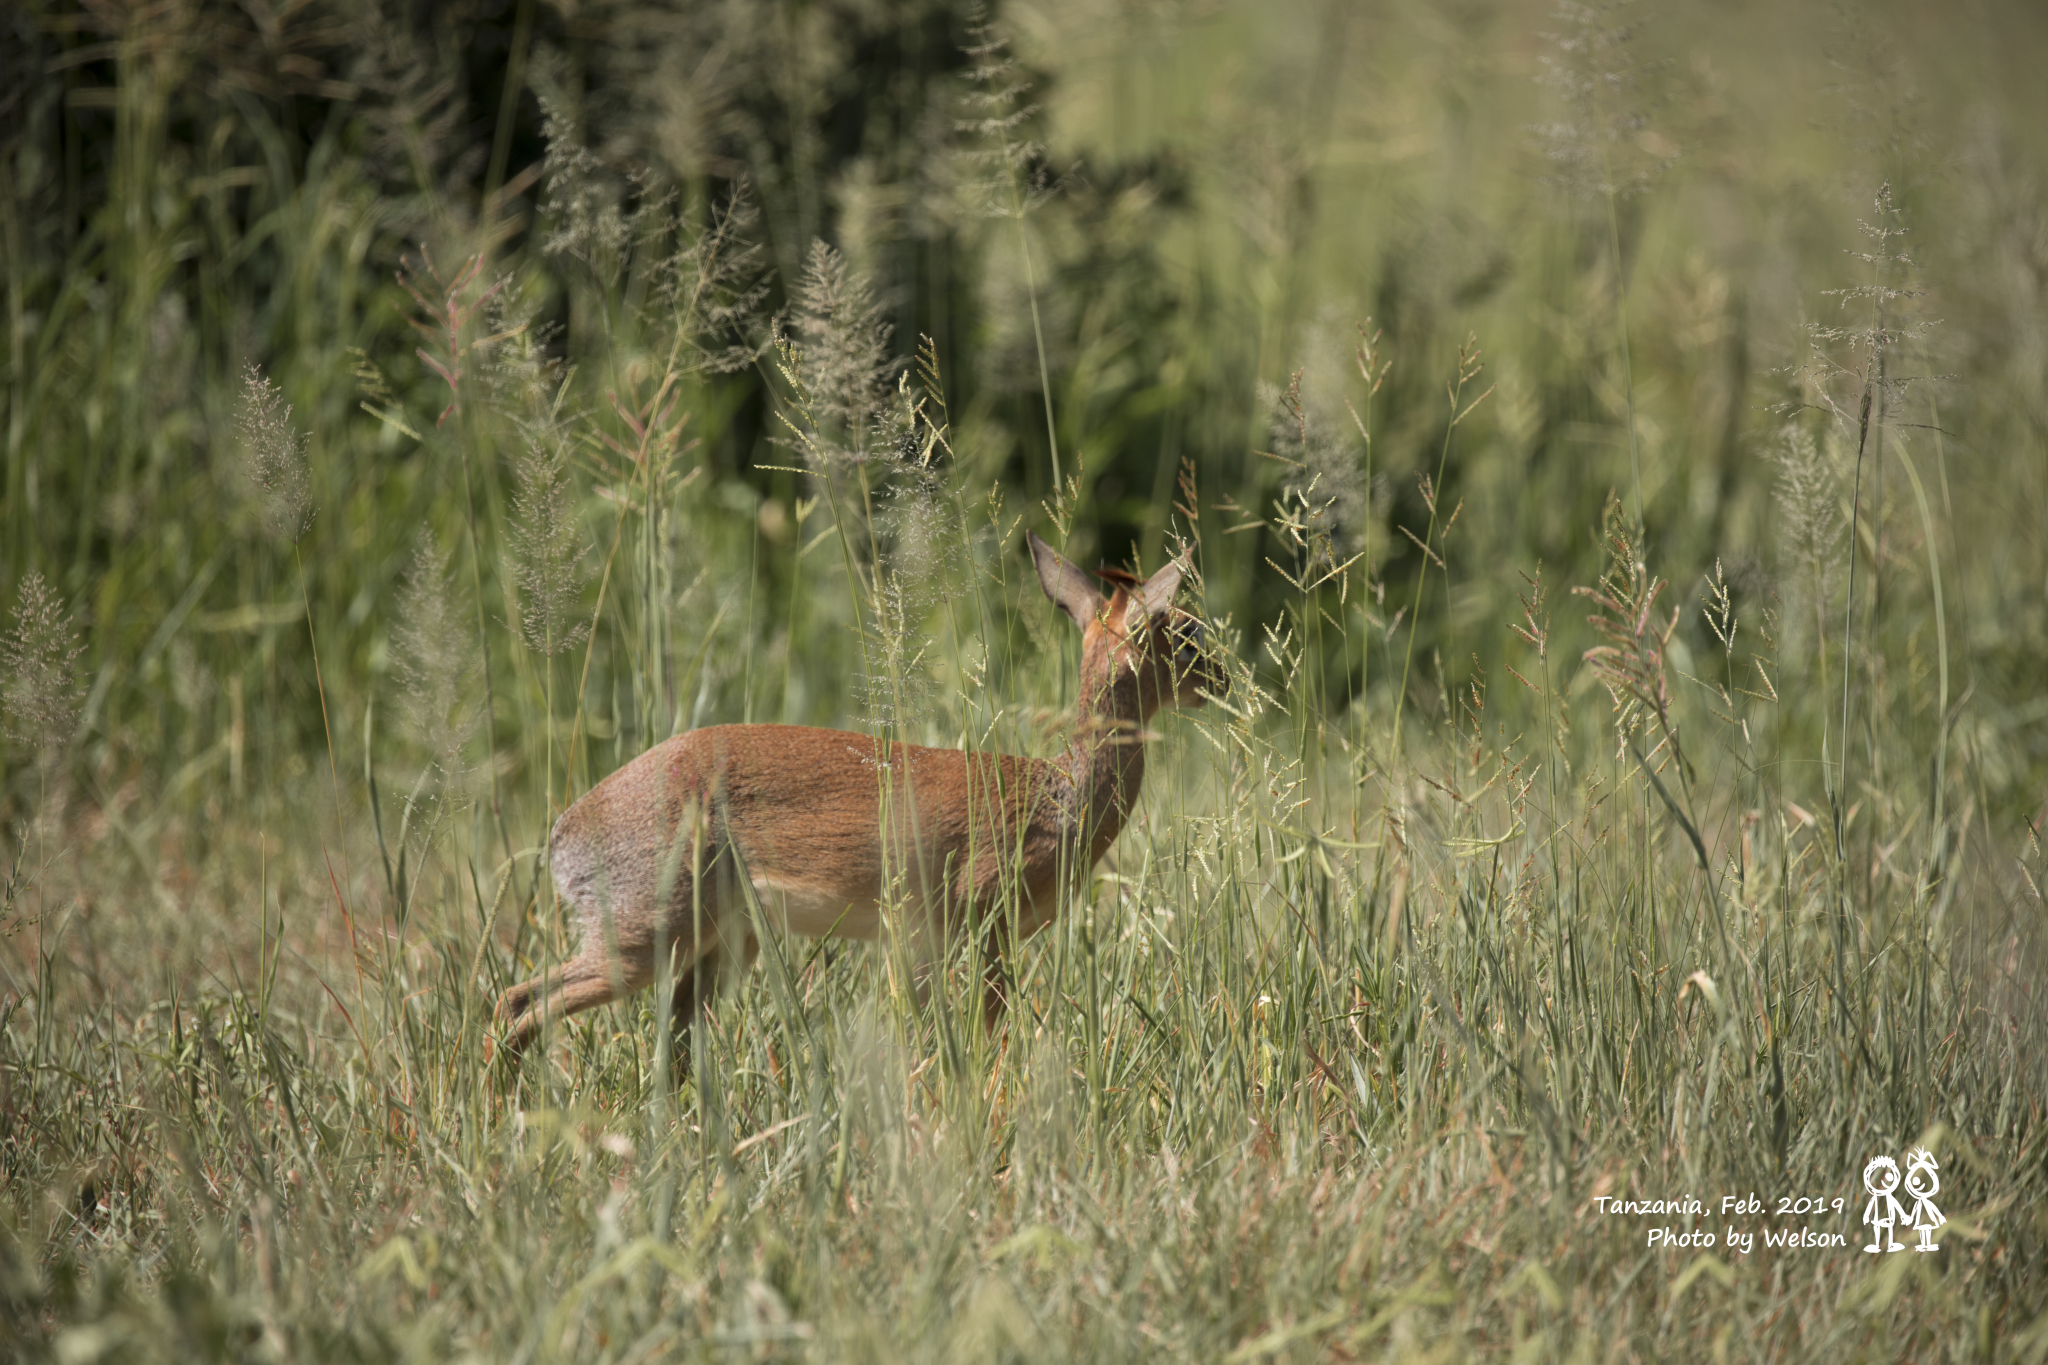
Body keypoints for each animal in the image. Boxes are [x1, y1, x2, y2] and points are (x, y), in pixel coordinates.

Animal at [497, 532, 1220, 1055]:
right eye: (1185, 632)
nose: (1224, 678)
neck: (1057, 800)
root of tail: (563, 835)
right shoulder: (977, 921)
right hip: (644, 931)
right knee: (516, 1004)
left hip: (718, 943)